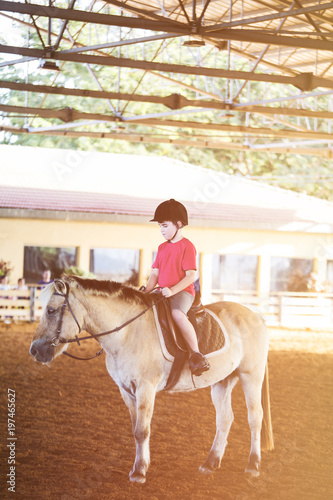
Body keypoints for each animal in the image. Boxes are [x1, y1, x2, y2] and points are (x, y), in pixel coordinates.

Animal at [29, 276, 272, 482]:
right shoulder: (126, 390)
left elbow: (142, 430)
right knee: (225, 419)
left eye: (51, 310)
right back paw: (210, 463)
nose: (35, 350)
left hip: (251, 375)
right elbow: (135, 428)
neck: (127, 333)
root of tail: (255, 316)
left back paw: (253, 465)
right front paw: (140, 466)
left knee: (254, 417)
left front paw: (139, 472)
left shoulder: (145, 388)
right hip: (222, 381)